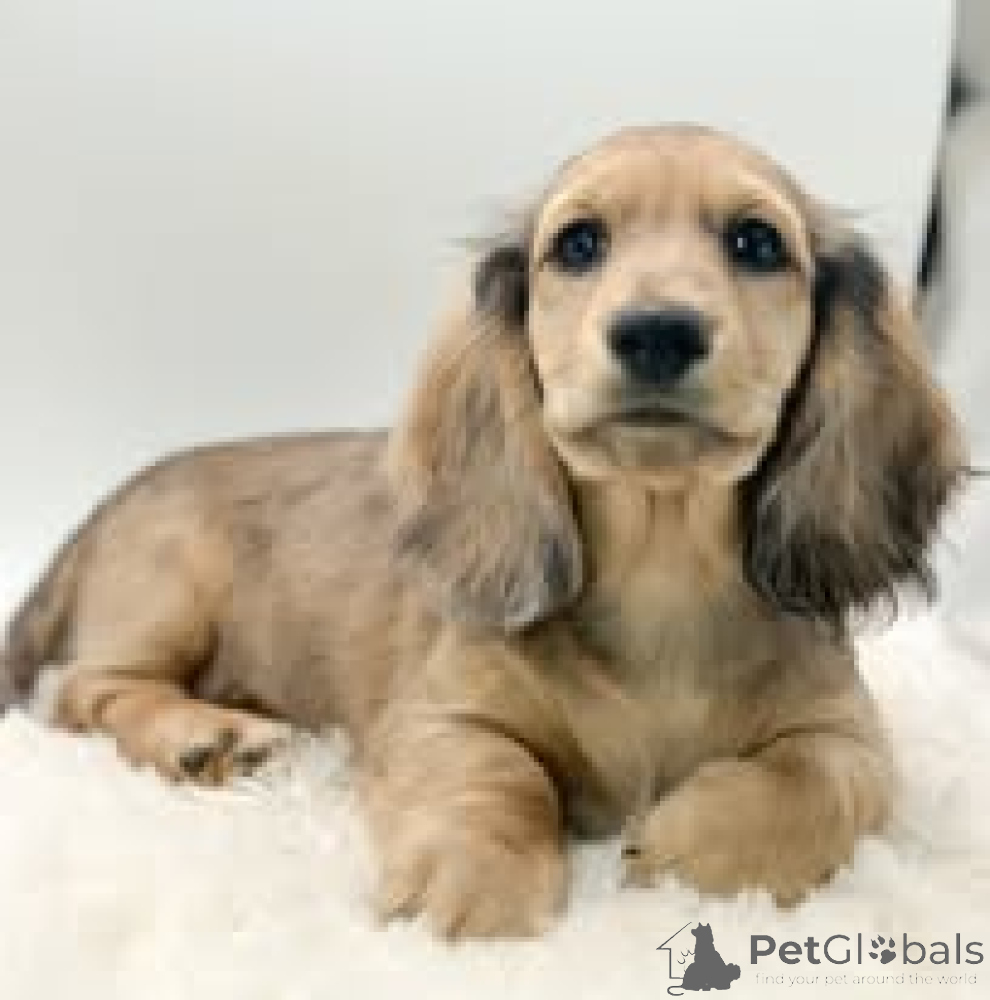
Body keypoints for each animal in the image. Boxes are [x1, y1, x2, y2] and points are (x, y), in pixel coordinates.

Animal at [1, 125, 966, 938]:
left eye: (758, 244)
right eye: (578, 244)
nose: (656, 332)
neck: (663, 575)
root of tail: (104, 505)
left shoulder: (850, 733)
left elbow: (818, 780)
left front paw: (687, 849)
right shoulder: (439, 716)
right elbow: (498, 775)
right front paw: (476, 883)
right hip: (173, 592)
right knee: (83, 690)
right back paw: (205, 736)